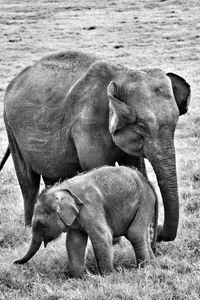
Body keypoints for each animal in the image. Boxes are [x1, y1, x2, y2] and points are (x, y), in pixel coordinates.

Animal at [0, 51, 191, 241]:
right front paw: (115, 238)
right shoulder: (86, 125)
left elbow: (135, 168)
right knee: (28, 182)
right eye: (142, 126)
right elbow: (99, 170)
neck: (123, 74)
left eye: (175, 124)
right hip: (11, 128)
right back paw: (29, 227)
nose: (157, 232)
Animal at [14, 165, 158, 278]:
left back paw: (143, 268)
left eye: (40, 224)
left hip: (144, 200)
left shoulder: (90, 205)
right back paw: (153, 264)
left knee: (134, 233)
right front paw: (77, 278)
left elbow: (102, 236)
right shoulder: (76, 217)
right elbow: (74, 242)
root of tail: (146, 180)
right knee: (142, 234)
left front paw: (107, 277)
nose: (14, 262)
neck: (62, 188)